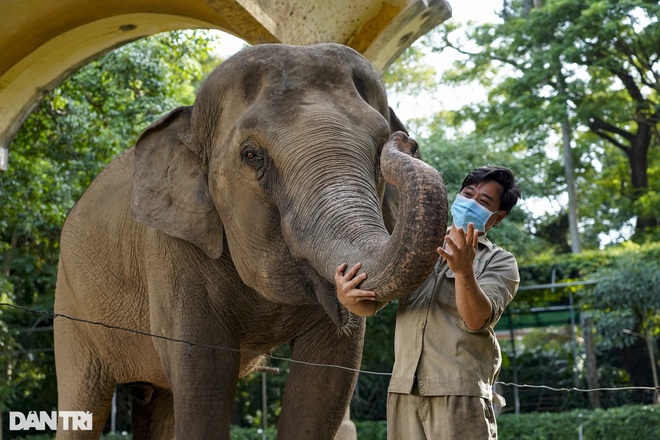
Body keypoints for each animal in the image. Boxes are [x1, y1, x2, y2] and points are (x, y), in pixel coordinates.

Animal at [55, 42, 448, 440]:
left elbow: (329, 375)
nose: (405, 141)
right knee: (83, 401)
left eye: (380, 146)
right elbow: (203, 370)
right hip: (70, 308)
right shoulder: (170, 251)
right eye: (251, 155)